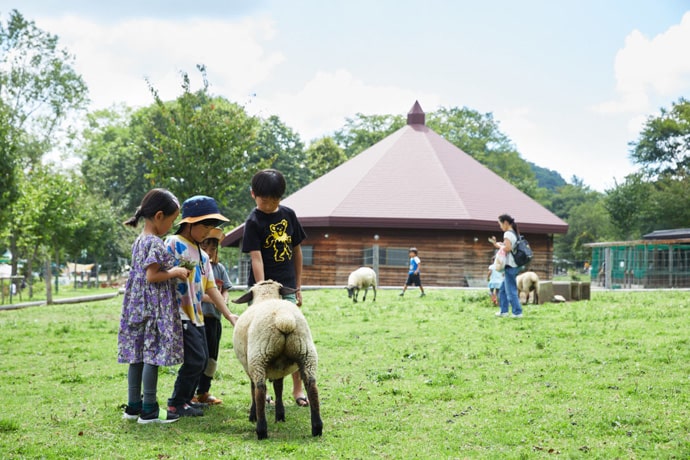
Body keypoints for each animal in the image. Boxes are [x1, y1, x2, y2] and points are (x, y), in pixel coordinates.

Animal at [228, 278, 320, 440]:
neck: (266, 296)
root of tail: (283, 319)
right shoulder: (279, 370)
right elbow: (279, 388)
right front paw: (280, 415)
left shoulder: (249, 367)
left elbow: (253, 389)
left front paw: (253, 415)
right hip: (306, 353)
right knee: (311, 385)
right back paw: (317, 428)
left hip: (258, 357)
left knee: (259, 389)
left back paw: (261, 429)